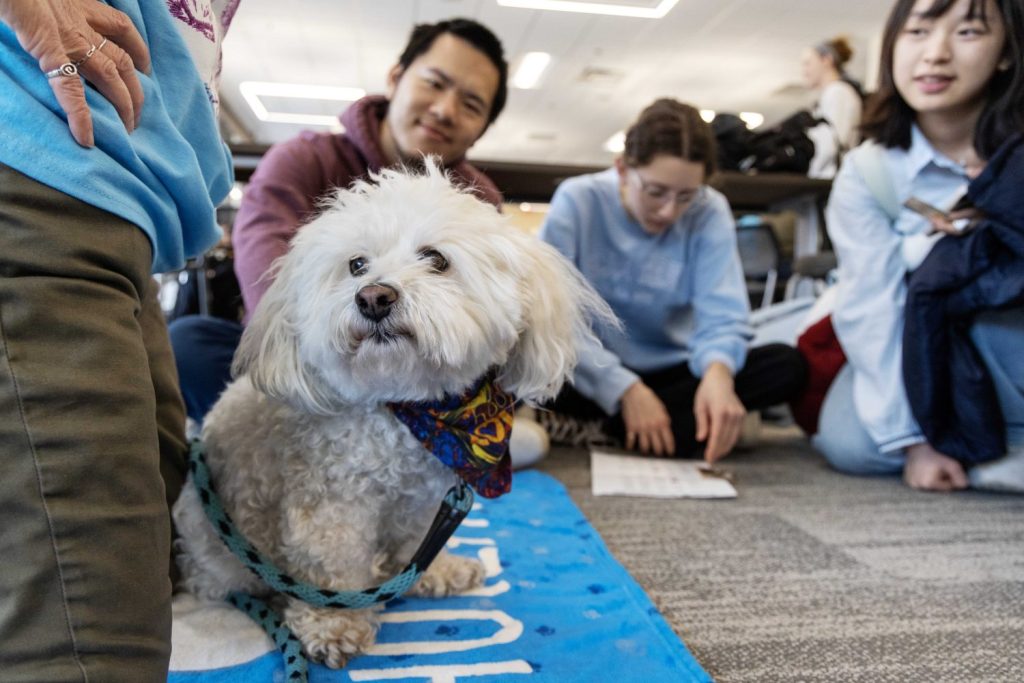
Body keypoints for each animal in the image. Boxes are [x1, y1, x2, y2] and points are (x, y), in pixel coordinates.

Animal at [172, 163, 610, 667]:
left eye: (435, 258)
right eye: (357, 265)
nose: (373, 297)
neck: (406, 411)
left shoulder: (422, 500)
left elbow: (413, 544)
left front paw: (434, 573)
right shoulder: (331, 504)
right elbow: (332, 565)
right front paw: (335, 625)